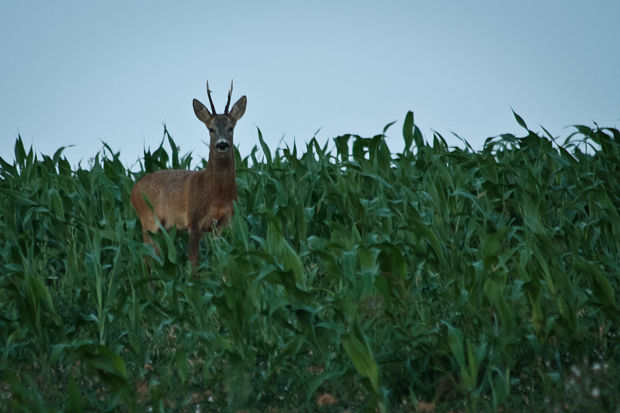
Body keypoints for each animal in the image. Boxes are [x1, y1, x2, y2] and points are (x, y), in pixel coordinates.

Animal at [131, 81, 247, 268]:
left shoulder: (223, 223)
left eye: (231, 128)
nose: (222, 144)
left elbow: (220, 257)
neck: (217, 194)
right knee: (146, 257)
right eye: (211, 129)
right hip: (148, 220)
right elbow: (193, 264)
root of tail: (133, 191)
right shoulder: (193, 221)